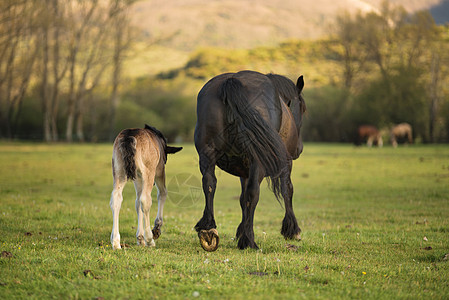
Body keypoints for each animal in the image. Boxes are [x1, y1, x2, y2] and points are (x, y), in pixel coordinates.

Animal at [192, 70, 304, 251]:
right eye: (303, 108)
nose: (299, 149)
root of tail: (232, 81)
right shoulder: (285, 164)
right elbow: (287, 190)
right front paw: (292, 230)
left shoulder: (244, 171)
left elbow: (242, 199)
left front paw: (240, 231)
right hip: (258, 161)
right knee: (253, 193)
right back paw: (249, 241)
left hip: (207, 154)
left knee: (209, 184)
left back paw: (208, 229)